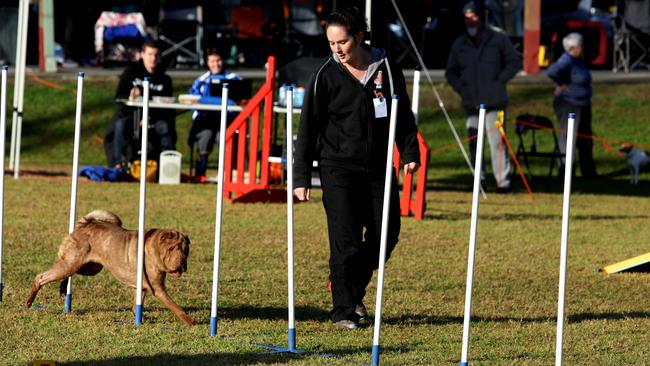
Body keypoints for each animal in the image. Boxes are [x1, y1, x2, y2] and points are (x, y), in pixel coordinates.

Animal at [24, 210, 195, 324]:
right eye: (172, 248)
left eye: (186, 250)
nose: (182, 261)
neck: (153, 248)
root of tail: (83, 224)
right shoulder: (157, 288)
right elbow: (175, 306)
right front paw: (191, 321)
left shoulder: (143, 286)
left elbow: (137, 303)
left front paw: (139, 316)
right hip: (71, 264)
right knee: (41, 277)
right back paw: (28, 302)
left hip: (88, 268)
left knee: (68, 274)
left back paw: (62, 289)